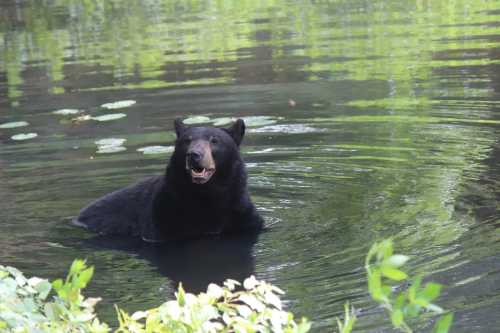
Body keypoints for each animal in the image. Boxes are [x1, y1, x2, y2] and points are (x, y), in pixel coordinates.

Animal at [74, 118, 264, 241]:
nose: (194, 155)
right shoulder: (165, 216)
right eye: (187, 140)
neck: (207, 194)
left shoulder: (239, 209)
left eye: (214, 140)